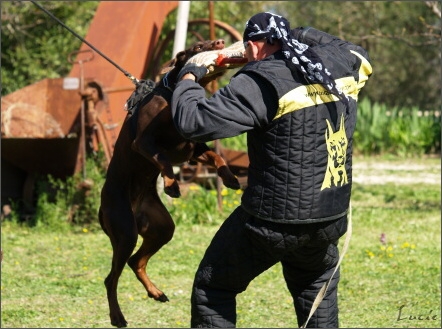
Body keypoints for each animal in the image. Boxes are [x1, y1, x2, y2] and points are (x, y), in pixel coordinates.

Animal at [98, 38, 240, 326]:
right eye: (199, 46)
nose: (220, 41)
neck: (175, 92)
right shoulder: (143, 142)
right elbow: (162, 158)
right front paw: (172, 185)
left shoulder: (193, 145)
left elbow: (216, 155)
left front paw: (230, 177)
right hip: (125, 231)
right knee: (111, 278)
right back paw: (117, 316)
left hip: (162, 228)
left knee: (136, 262)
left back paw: (155, 292)